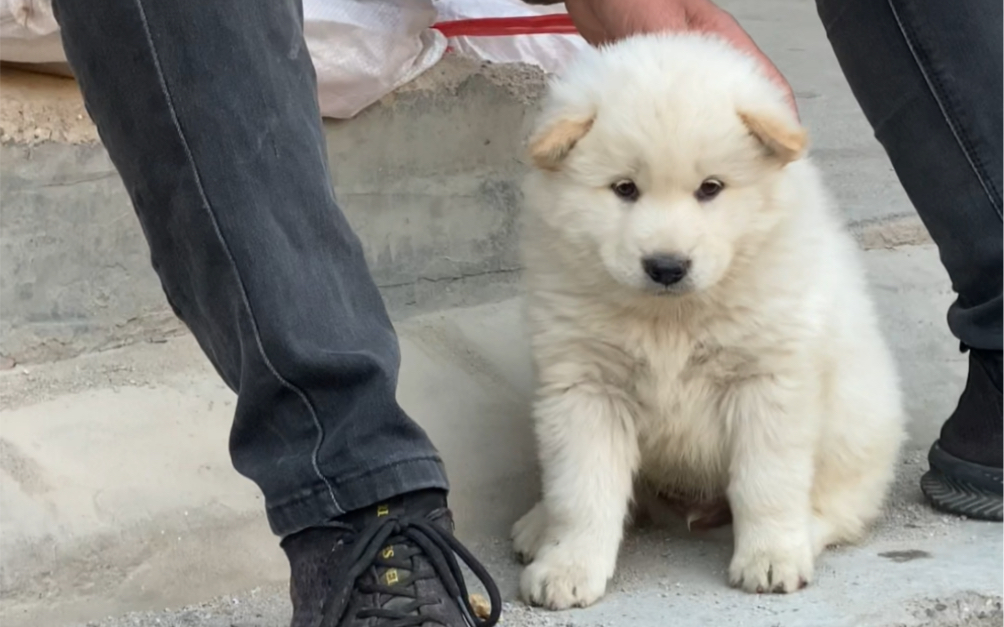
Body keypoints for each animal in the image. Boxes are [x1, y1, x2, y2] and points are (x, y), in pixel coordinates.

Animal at [514, 33, 907, 605]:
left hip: (857, 429)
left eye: (711, 188)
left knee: (837, 509)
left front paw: (770, 557)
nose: (666, 266)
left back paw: (801, 538)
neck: (671, 318)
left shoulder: (768, 380)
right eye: (624, 188)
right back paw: (537, 525)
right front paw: (567, 566)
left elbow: (767, 482)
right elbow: (582, 489)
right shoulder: (585, 386)